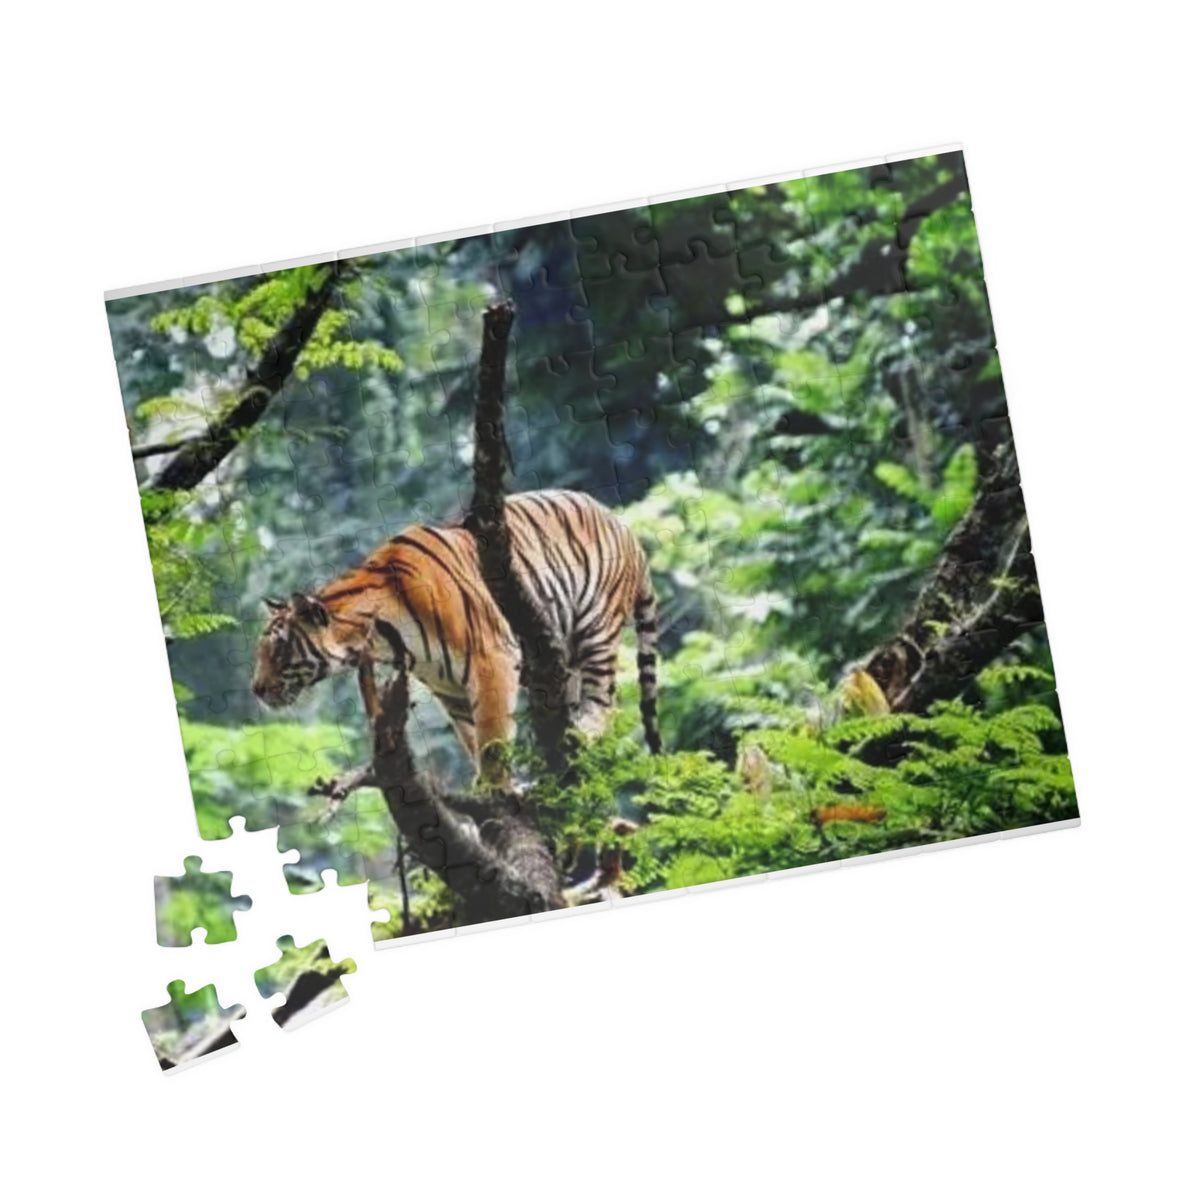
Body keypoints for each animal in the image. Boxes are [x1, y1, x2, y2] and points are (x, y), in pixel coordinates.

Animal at [251, 490, 662, 778]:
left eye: (279, 648)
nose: (256, 689)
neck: (380, 637)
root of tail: (624, 526)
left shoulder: (491, 660)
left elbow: (492, 741)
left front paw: (496, 793)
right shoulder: (449, 687)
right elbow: (473, 741)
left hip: (597, 627)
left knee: (605, 701)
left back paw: (585, 731)